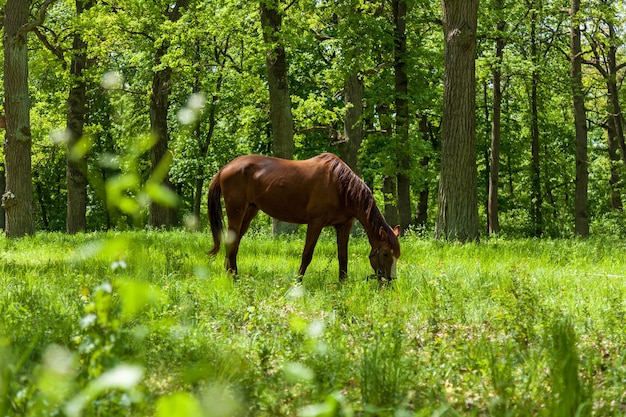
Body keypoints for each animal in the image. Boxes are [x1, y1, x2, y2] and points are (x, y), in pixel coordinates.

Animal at [206, 152, 400, 280]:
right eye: (385, 254)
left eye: (396, 255)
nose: (390, 281)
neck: (340, 186)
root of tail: (226, 167)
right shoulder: (315, 224)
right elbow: (307, 255)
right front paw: (298, 282)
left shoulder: (344, 226)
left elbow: (343, 256)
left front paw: (342, 284)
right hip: (236, 212)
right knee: (232, 243)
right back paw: (234, 277)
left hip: (250, 211)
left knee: (234, 242)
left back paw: (230, 272)